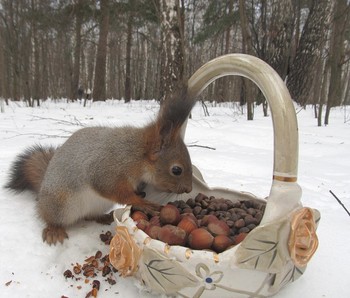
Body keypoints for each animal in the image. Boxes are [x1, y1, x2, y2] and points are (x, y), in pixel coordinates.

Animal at [5, 83, 196, 244]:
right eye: (176, 170)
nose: (189, 189)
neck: (137, 154)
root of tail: (42, 190)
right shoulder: (108, 168)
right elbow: (114, 190)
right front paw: (143, 203)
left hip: (98, 204)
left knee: (89, 216)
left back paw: (105, 217)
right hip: (59, 204)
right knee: (50, 218)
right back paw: (54, 230)